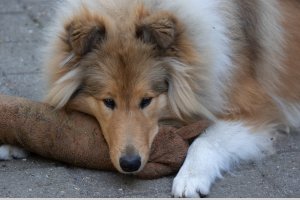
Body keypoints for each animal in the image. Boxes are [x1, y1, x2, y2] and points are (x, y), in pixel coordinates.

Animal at [1, 0, 298, 197]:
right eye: (108, 101)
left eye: (147, 100)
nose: (130, 164)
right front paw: (12, 143)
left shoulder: (256, 109)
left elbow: (207, 140)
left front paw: (189, 178)